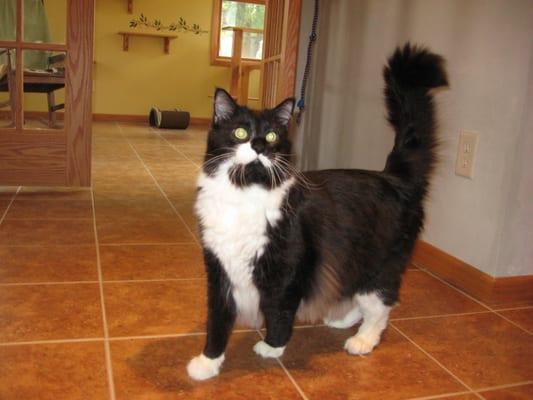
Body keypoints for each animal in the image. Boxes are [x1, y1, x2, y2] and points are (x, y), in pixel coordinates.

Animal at [186, 44, 444, 382]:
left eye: (272, 136)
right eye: (241, 132)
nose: (259, 146)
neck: (244, 192)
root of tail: (393, 177)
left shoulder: (287, 270)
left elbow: (279, 312)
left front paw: (272, 346)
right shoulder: (219, 270)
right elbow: (217, 322)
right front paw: (208, 362)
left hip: (378, 265)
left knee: (382, 306)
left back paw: (362, 340)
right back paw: (342, 321)